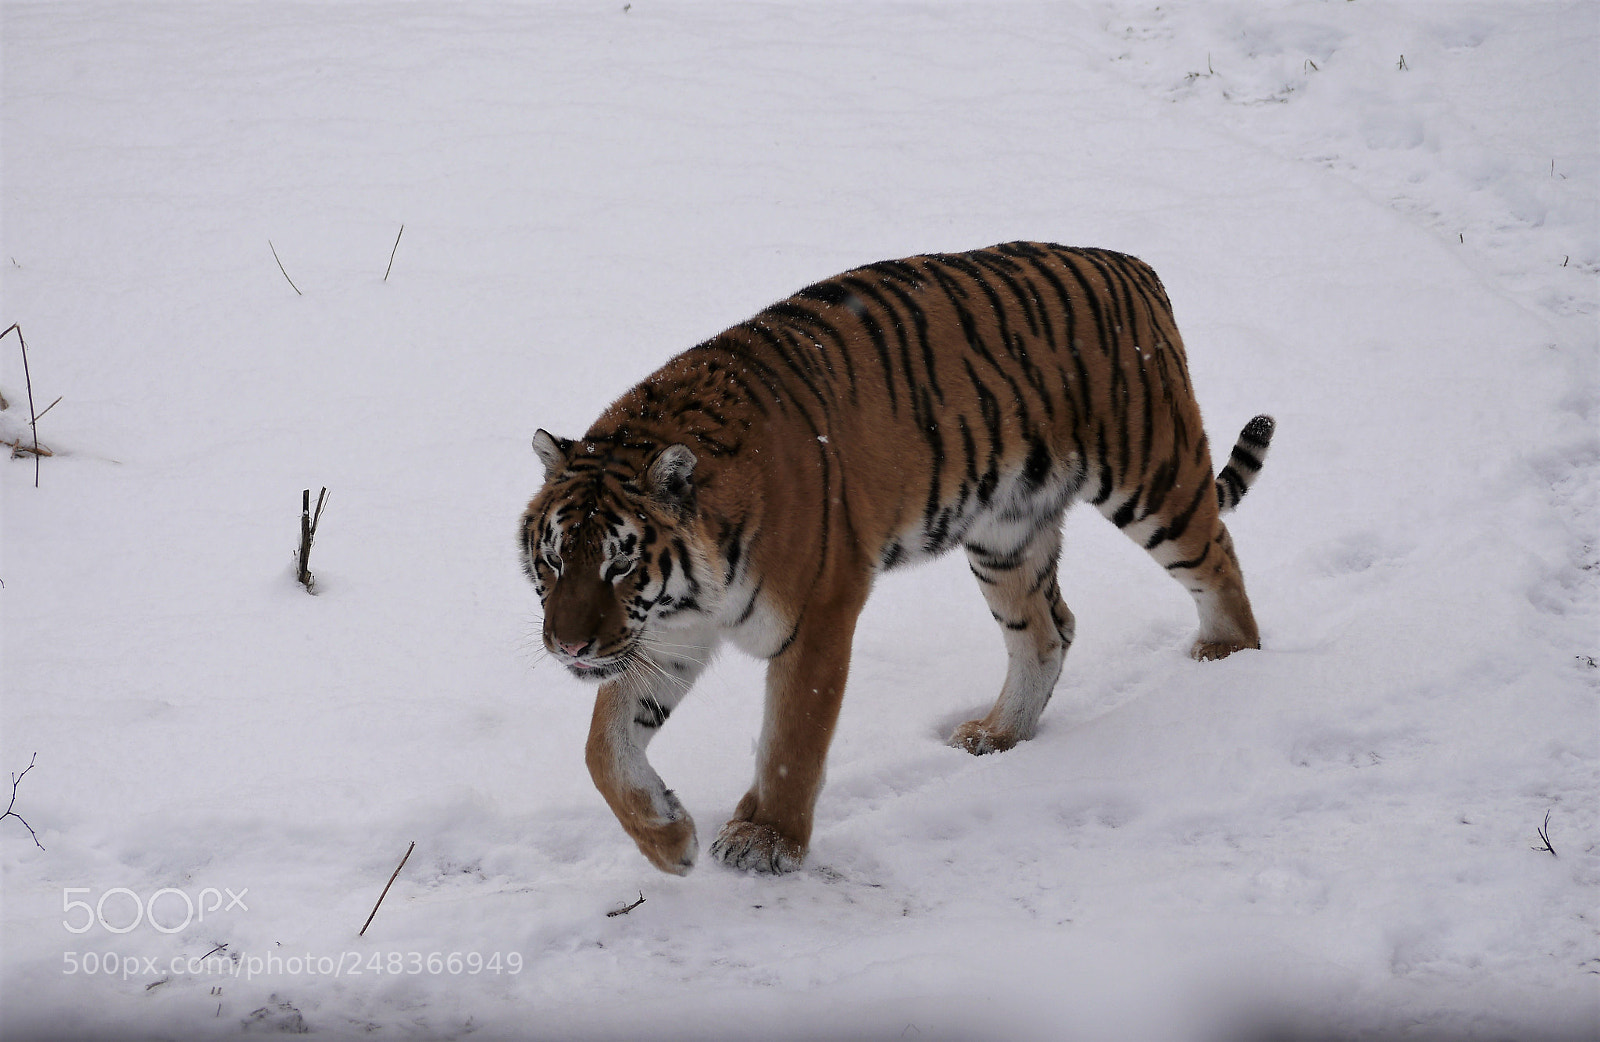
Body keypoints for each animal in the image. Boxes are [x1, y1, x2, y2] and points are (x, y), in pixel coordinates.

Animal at [519, 241, 1274, 876]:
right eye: (552, 561)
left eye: (619, 565)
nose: (568, 646)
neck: (691, 591)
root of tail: (1133, 266)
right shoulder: (665, 635)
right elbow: (604, 746)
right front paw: (669, 841)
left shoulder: (818, 616)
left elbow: (792, 742)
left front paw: (767, 840)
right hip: (1005, 535)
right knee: (1047, 631)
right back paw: (998, 734)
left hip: (1150, 476)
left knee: (1217, 558)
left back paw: (1225, 658)